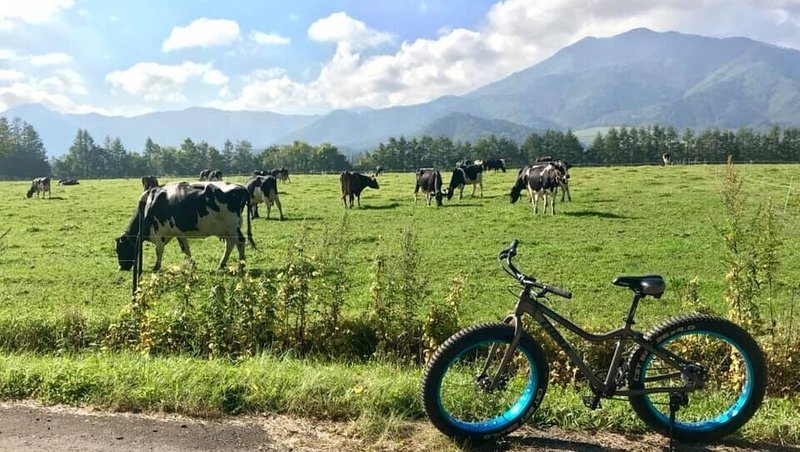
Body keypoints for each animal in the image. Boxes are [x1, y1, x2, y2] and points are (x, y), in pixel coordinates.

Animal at [114, 183, 253, 274]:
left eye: (119, 249)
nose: (121, 267)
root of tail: (241, 187)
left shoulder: (159, 233)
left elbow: (158, 250)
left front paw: (156, 266)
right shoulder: (179, 232)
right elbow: (185, 249)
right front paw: (193, 265)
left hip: (232, 226)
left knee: (240, 242)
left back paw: (241, 266)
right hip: (227, 229)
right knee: (230, 244)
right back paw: (222, 264)